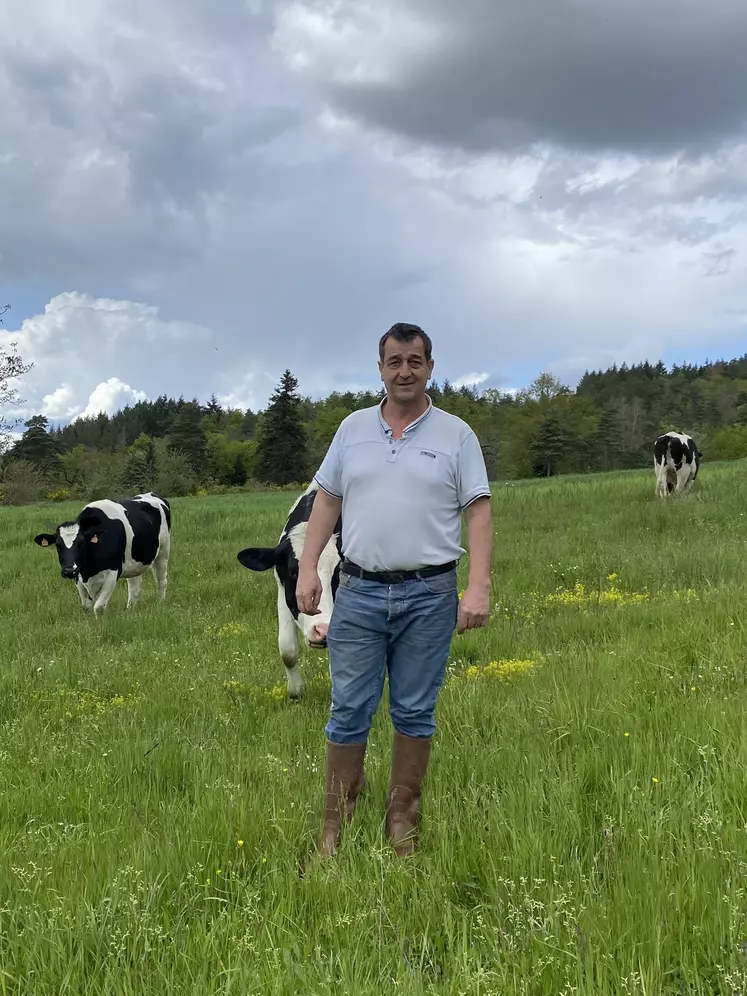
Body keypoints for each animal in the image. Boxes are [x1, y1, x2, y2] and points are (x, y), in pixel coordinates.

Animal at [34, 490, 172, 616]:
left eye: (81, 543)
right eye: (58, 545)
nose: (69, 571)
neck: (90, 570)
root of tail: (151, 494)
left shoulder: (113, 571)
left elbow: (99, 607)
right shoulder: (79, 576)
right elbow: (87, 606)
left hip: (163, 552)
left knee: (161, 581)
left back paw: (161, 603)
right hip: (135, 561)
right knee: (134, 587)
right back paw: (130, 609)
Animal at [237, 482, 342, 700]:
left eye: (337, 573)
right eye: (294, 572)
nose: (322, 630)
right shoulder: (283, 592)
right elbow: (287, 649)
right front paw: (295, 692)